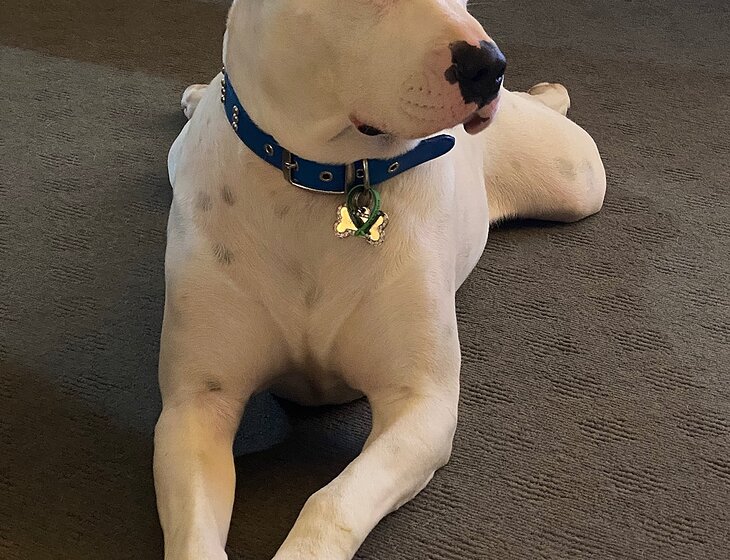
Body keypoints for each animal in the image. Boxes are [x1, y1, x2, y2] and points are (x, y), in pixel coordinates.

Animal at [156, 1, 606, 558]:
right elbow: (194, 533)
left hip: (579, 179)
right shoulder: (196, 406)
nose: (489, 67)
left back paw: (548, 92)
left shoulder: (420, 409)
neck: (324, 178)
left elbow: (331, 503)